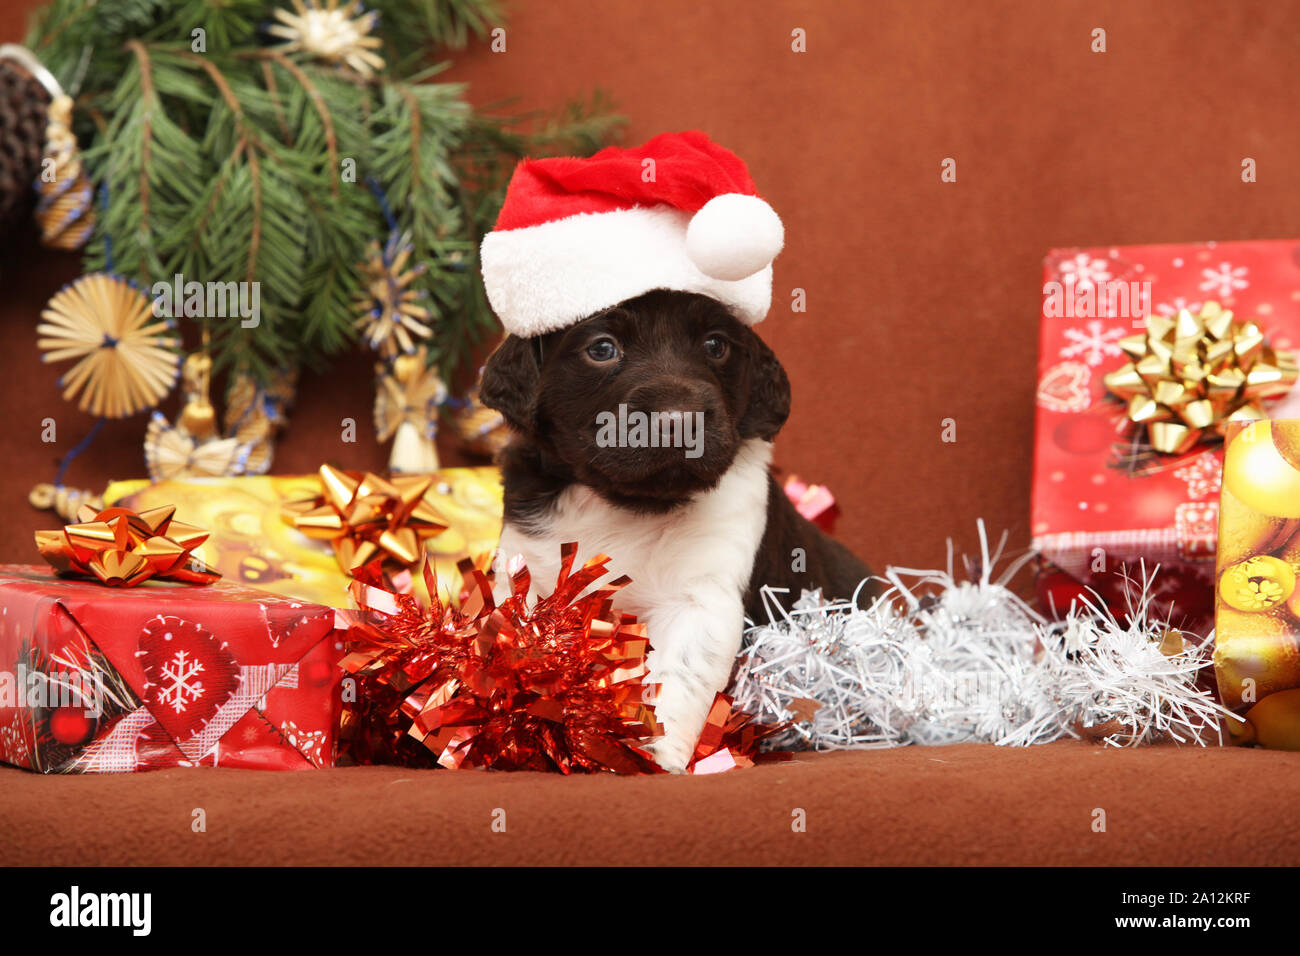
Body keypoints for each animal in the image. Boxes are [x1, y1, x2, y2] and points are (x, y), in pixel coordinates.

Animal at [483, 287, 878, 775]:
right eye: (602, 349)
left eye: (716, 345)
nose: (679, 420)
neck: (630, 504)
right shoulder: (526, 565)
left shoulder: (703, 594)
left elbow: (676, 674)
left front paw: (653, 749)